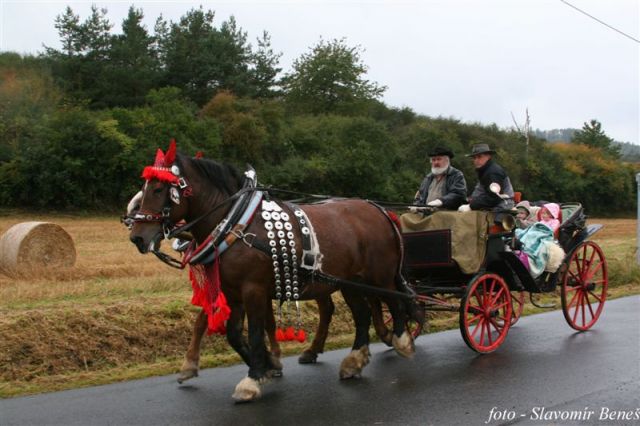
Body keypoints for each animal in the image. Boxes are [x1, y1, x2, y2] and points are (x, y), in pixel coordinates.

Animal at [129, 145, 416, 402]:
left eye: (158, 189)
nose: (137, 237)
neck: (236, 225)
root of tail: (380, 210)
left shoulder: (253, 289)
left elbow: (256, 330)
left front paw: (253, 378)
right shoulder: (232, 292)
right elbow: (233, 333)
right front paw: (267, 366)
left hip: (379, 276)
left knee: (395, 301)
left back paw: (402, 341)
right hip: (349, 282)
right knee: (362, 313)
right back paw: (354, 360)